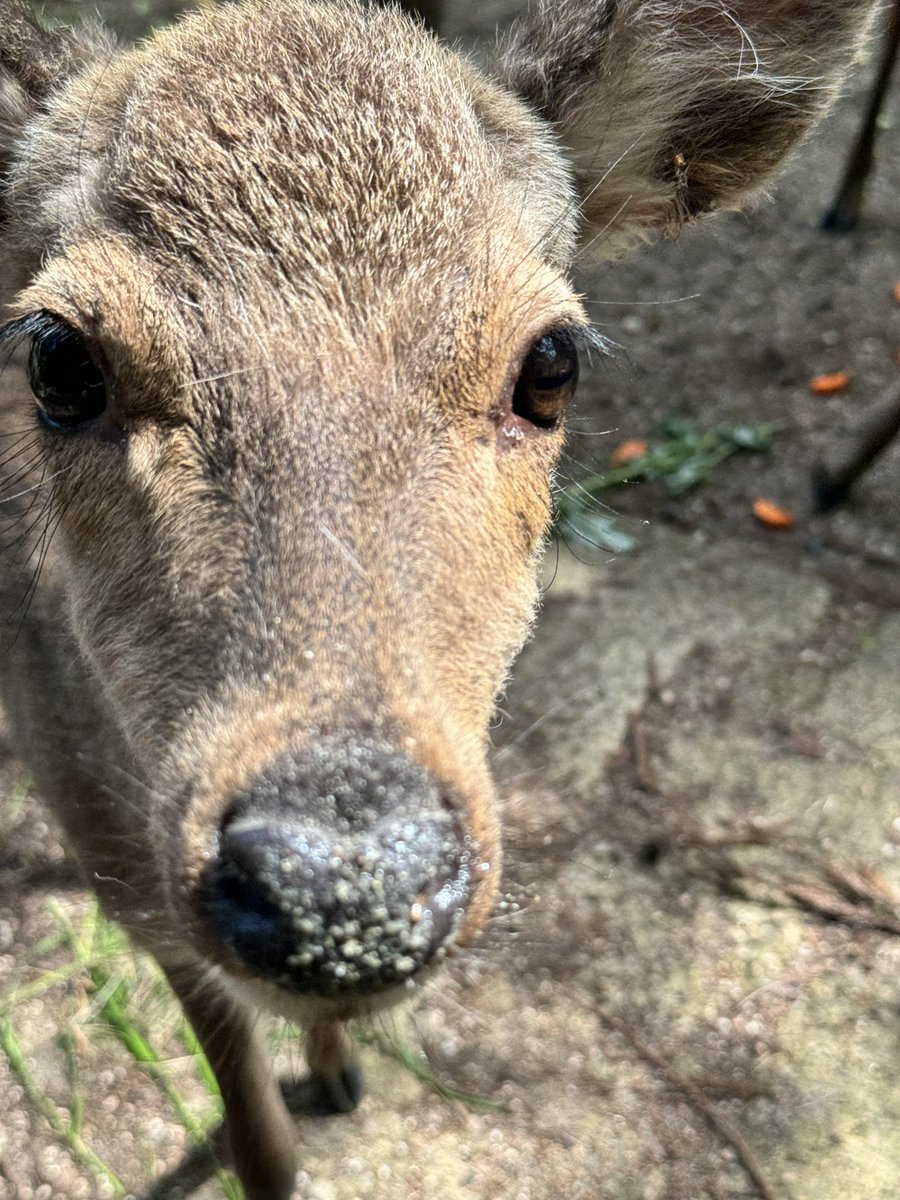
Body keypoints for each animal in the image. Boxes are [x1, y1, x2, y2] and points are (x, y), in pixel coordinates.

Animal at [0, 2, 878, 1200]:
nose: (344, 886)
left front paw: (337, 1070)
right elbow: (254, 1136)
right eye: (58, 360)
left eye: (552, 361)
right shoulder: (125, 883)